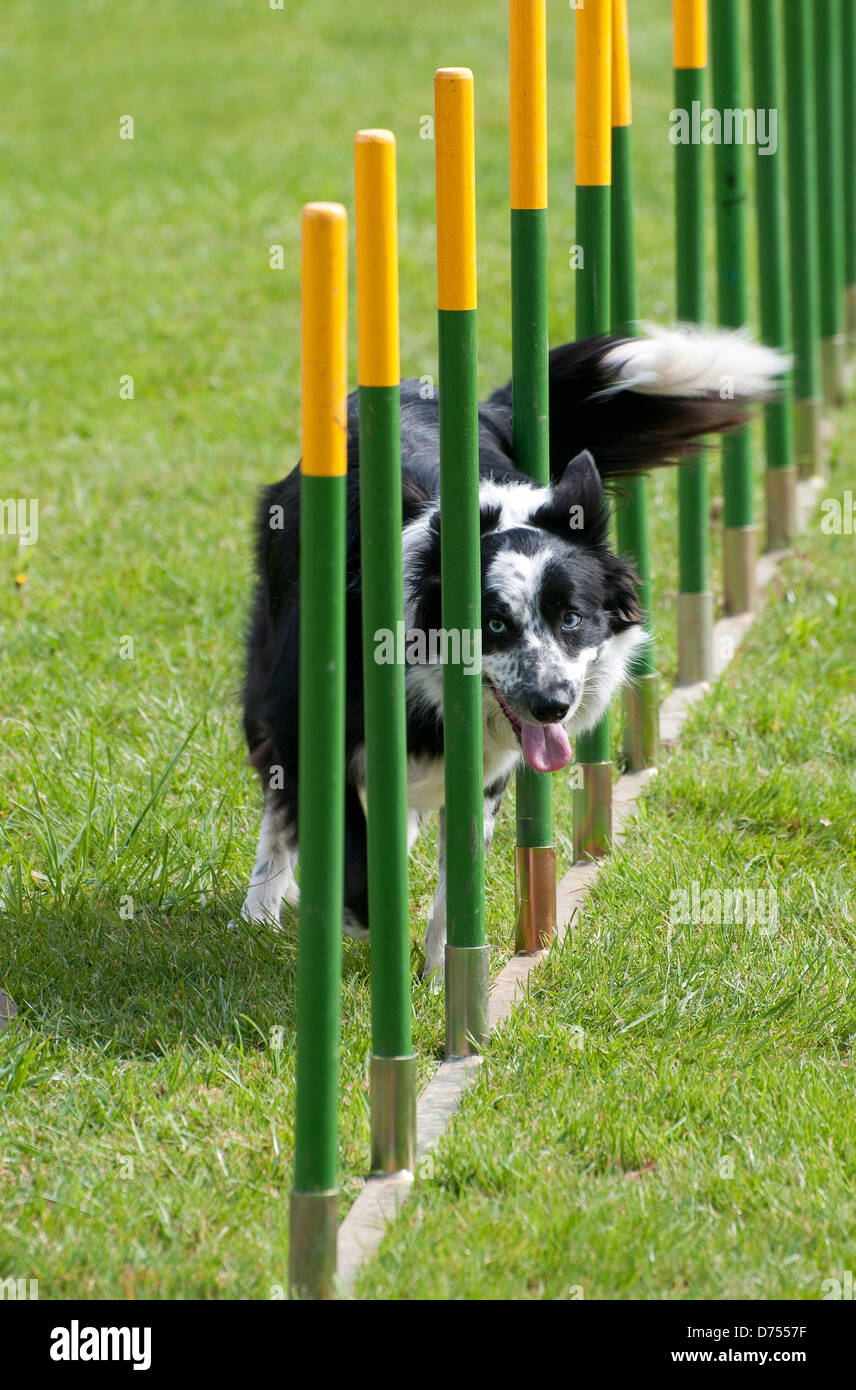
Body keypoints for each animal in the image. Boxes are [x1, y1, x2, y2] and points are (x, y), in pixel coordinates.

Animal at [237, 325, 783, 978]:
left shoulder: (488, 769)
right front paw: (361, 907)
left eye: (572, 619)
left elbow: (458, 877)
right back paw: (261, 905)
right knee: (277, 799)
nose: (552, 705)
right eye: (494, 625)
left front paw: (443, 977)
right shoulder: (303, 708)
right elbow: (330, 807)